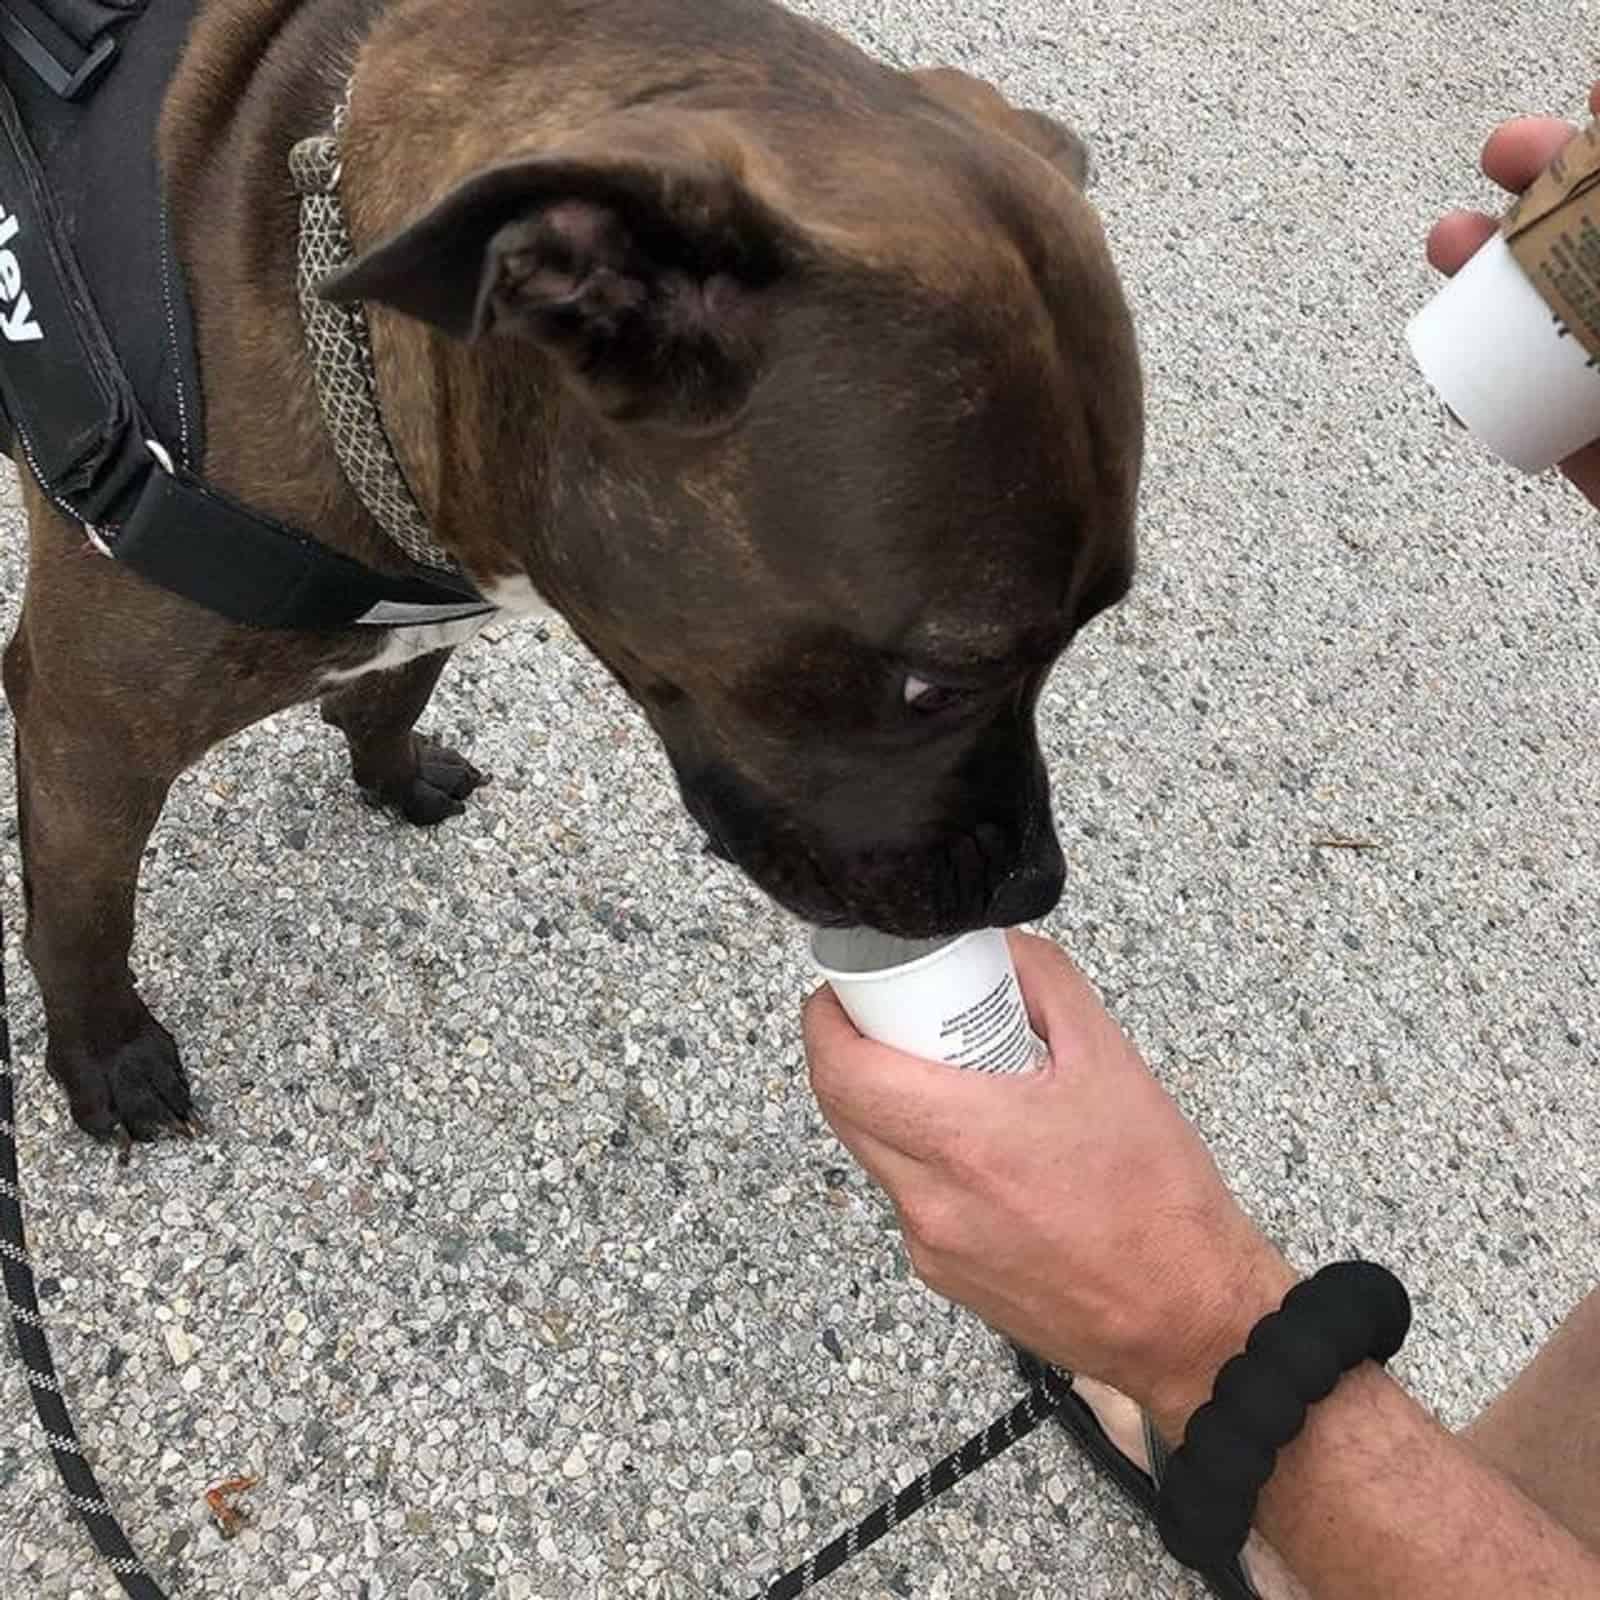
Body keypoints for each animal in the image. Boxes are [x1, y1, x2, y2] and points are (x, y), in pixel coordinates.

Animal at [6, 0, 1145, 1152]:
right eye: (935, 684)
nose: (1036, 883)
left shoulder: (442, 593)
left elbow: (396, 688)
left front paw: (394, 773)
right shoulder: (87, 734)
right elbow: (85, 913)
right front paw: (107, 1053)